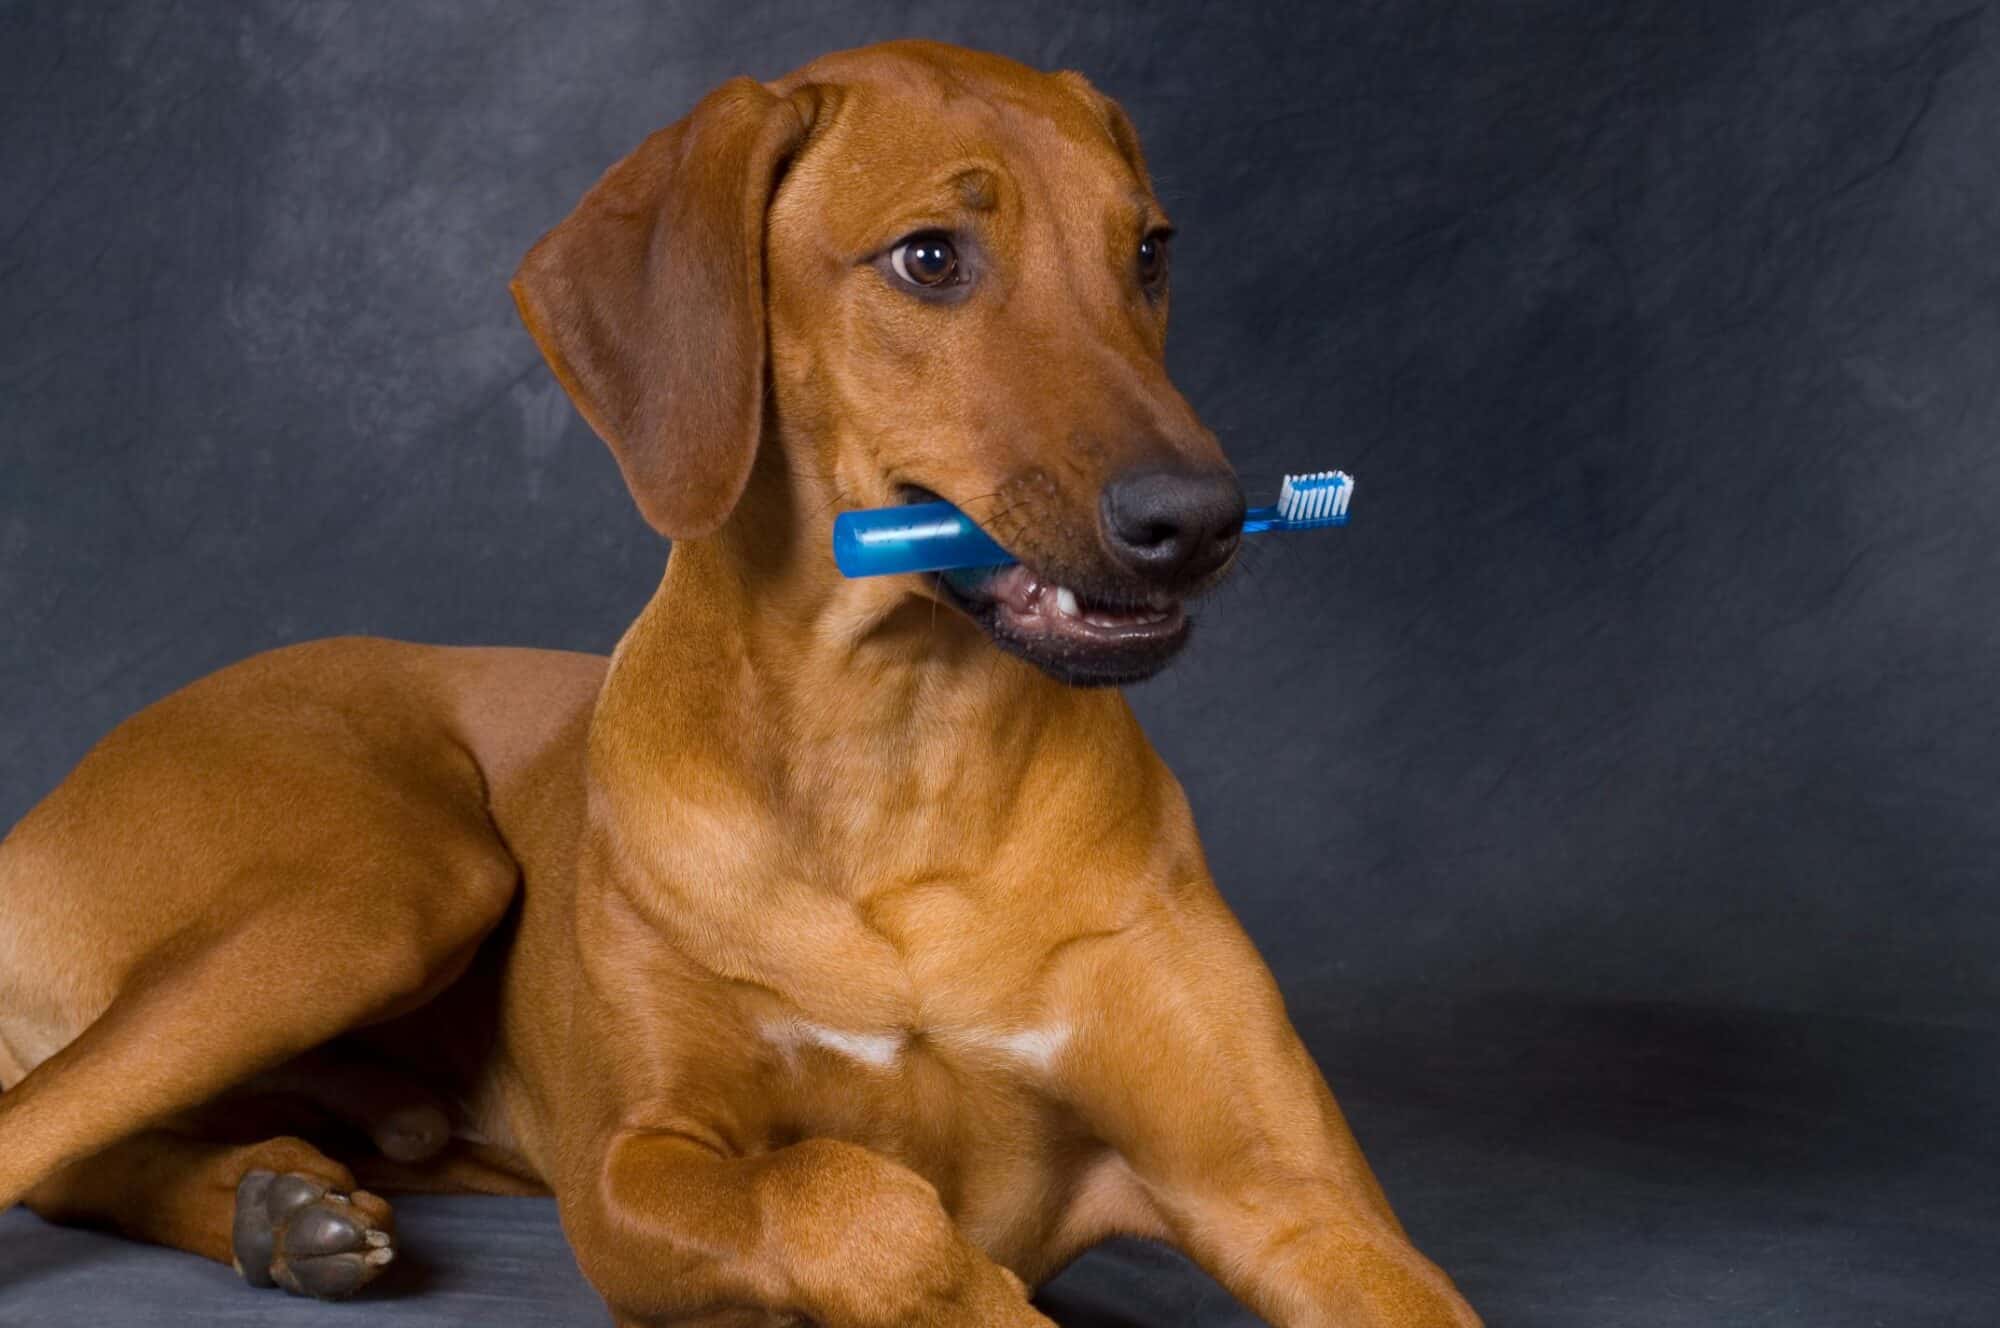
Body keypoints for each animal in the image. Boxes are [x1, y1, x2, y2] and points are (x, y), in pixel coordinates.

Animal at [3, 41, 1488, 1328]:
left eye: (1149, 251)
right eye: (930, 257)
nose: (1201, 518)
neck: (900, 757)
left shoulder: (1293, 1199)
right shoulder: (633, 1171)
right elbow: (853, 1196)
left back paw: (274, 1204)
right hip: (390, 885)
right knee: (39, 1132)